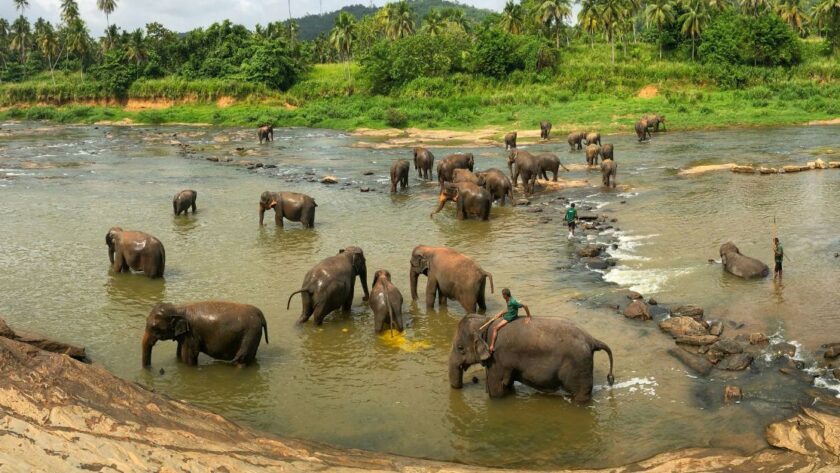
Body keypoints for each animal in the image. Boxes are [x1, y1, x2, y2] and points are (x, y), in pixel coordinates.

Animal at [139, 300, 268, 366]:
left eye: (154, 327)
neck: (179, 308)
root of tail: (260, 314)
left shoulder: (192, 334)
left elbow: (188, 357)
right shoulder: (185, 335)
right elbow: (179, 353)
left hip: (250, 334)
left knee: (241, 360)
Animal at [450, 316, 612, 400]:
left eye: (460, 347)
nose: (470, 382)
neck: (487, 321)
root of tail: (592, 340)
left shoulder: (497, 358)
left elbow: (496, 387)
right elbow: (507, 385)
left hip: (579, 367)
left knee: (580, 394)